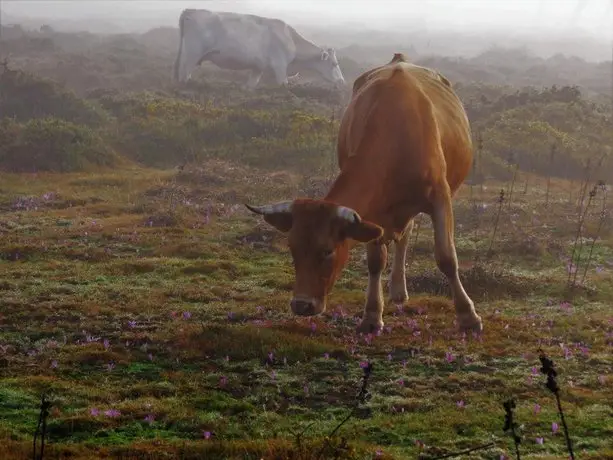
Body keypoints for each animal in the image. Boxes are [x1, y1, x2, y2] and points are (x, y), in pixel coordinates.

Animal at [172, 8, 344, 88]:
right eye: (334, 64)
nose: (342, 81)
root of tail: (191, 10)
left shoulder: (258, 68)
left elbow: (250, 85)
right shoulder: (280, 67)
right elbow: (283, 84)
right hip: (191, 54)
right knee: (184, 75)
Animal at [244, 54, 482, 334]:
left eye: (327, 250)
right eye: (292, 248)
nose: (301, 305)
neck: (397, 134)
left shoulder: (440, 198)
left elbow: (447, 258)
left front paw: (468, 316)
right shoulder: (372, 212)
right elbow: (376, 262)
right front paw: (371, 315)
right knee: (404, 234)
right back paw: (397, 289)